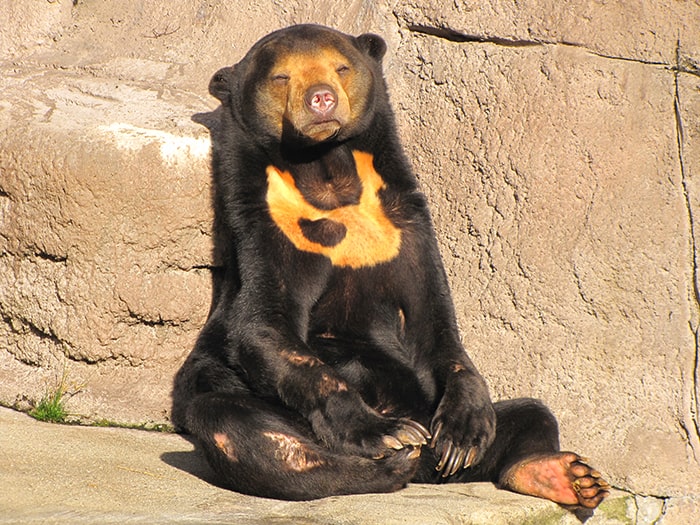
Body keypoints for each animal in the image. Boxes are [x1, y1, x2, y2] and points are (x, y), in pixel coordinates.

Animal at [172, 24, 608, 508]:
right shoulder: (269, 228)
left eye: (341, 67)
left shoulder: (404, 225)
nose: (321, 99)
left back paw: (563, 474)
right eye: (282, 77)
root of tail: (427, 474)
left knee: (532, 413)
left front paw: (462, 434)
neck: (327, 175)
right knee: (241, 428)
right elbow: (263, 325)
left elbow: (435, 324)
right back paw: (394, 458)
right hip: (232, 393)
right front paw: (387, 432)